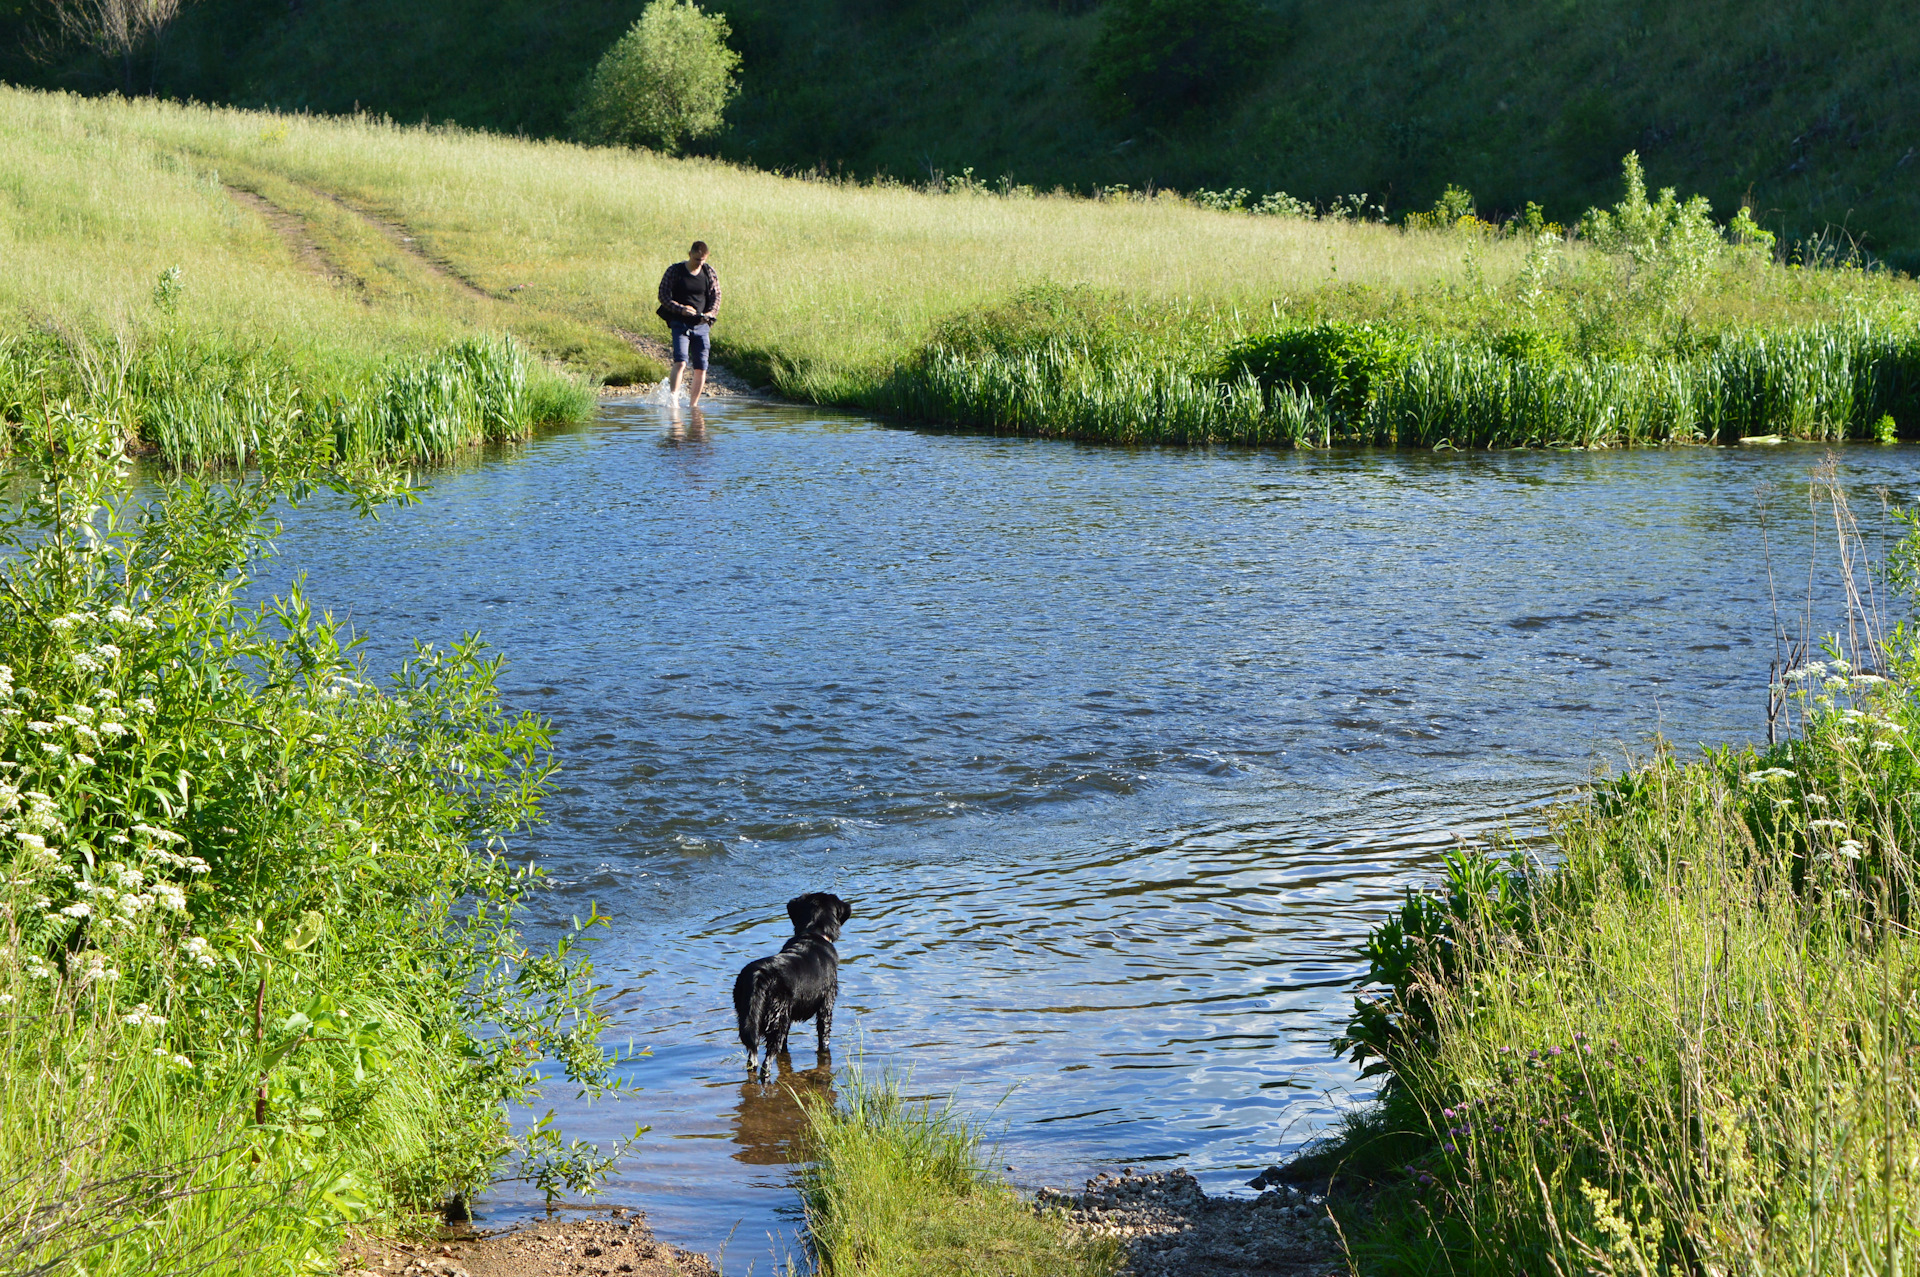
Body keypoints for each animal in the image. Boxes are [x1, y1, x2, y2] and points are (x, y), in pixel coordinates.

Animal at [733, 894, 856, 1075]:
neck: (814, 933)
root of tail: (758, 976)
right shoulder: (826, 1004)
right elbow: (824, 1038)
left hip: (749, 1016)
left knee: (752, 1056)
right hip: (776, 1020)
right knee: (766, 1062)